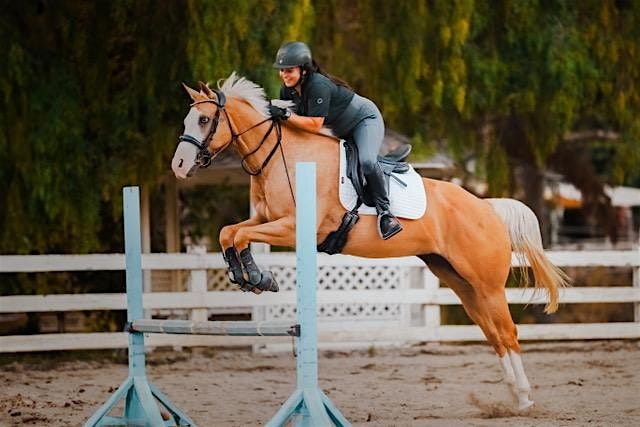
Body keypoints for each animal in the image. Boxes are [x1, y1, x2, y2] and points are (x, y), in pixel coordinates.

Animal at [171, 72, 568, 412]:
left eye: (204, 120)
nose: (178, 166)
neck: (285, 155)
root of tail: (486, 206)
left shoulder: (293, 227)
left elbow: (238, 234)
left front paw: (256, 277)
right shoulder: (266, 221)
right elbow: (229, 232)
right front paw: (249, 276)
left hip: (487, 285)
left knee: (507, 332)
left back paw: (525, 399)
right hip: (461, 282)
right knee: (493, 334)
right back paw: (514, 397)